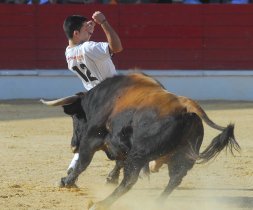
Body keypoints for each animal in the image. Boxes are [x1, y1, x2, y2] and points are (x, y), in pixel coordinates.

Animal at [41, 73, 239, 209]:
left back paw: (101, 203)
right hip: (181, 155)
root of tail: (186, 106)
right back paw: (157, 202)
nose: (73, 145)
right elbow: (118, 162)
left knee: (130, 179)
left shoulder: (92, 138)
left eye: (75, 117)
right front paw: (109, 178)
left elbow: (83, 163)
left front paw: (66, 181)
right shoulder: (121, 144)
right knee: (175, 178)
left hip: (139, 153)